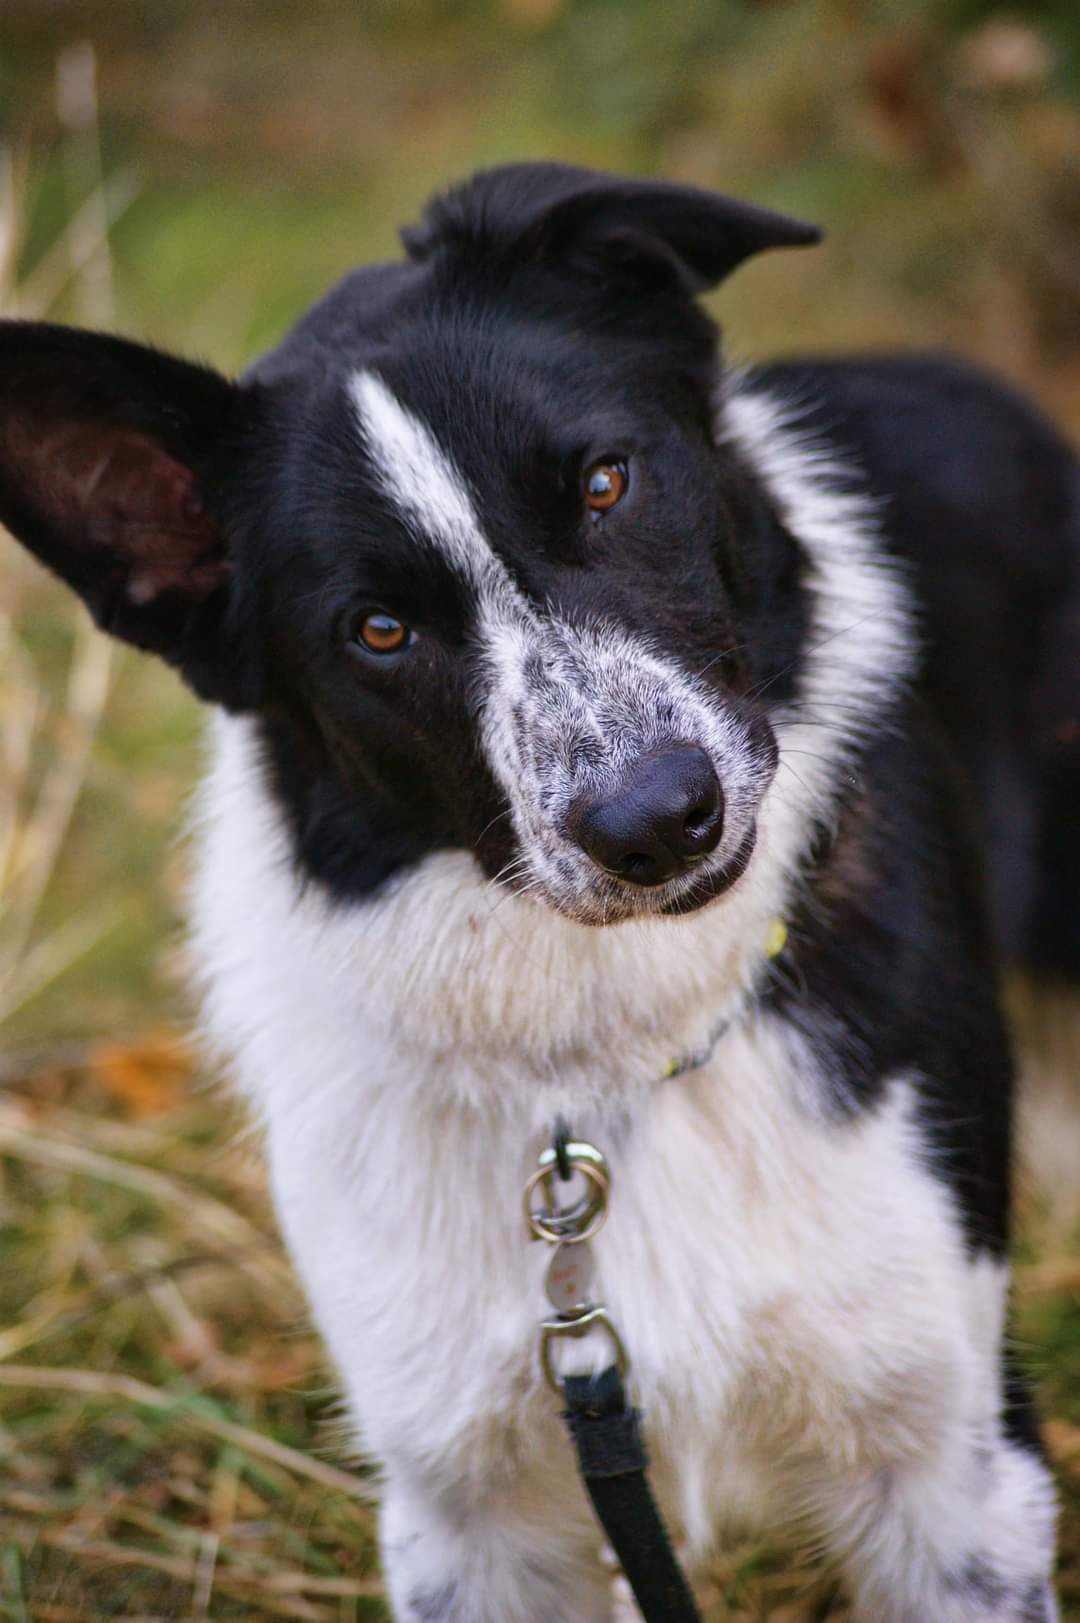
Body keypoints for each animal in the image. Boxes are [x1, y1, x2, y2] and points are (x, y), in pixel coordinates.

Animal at [2, 161, 1078, 1610]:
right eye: (379, 630)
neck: (604, 1058)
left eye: (608, 482)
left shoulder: (953, 1472)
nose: (657, 820)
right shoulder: (473, 1515)